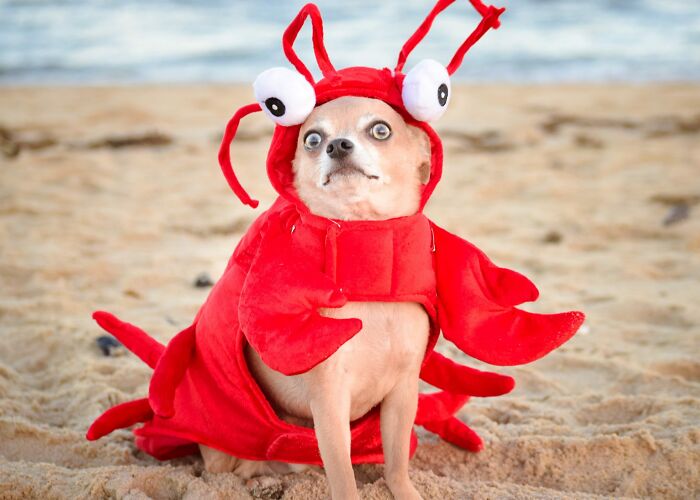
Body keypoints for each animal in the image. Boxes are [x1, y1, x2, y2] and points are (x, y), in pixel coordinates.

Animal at [198, 94, 432, 500]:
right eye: (311, 139)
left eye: (381, 130)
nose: (336, 145)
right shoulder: (329, 401)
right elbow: (342, 474)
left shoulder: (403, 395)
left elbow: (396, 462)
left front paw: (406, 492)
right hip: (225, 450)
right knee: (235, 468)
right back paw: (262, 481)